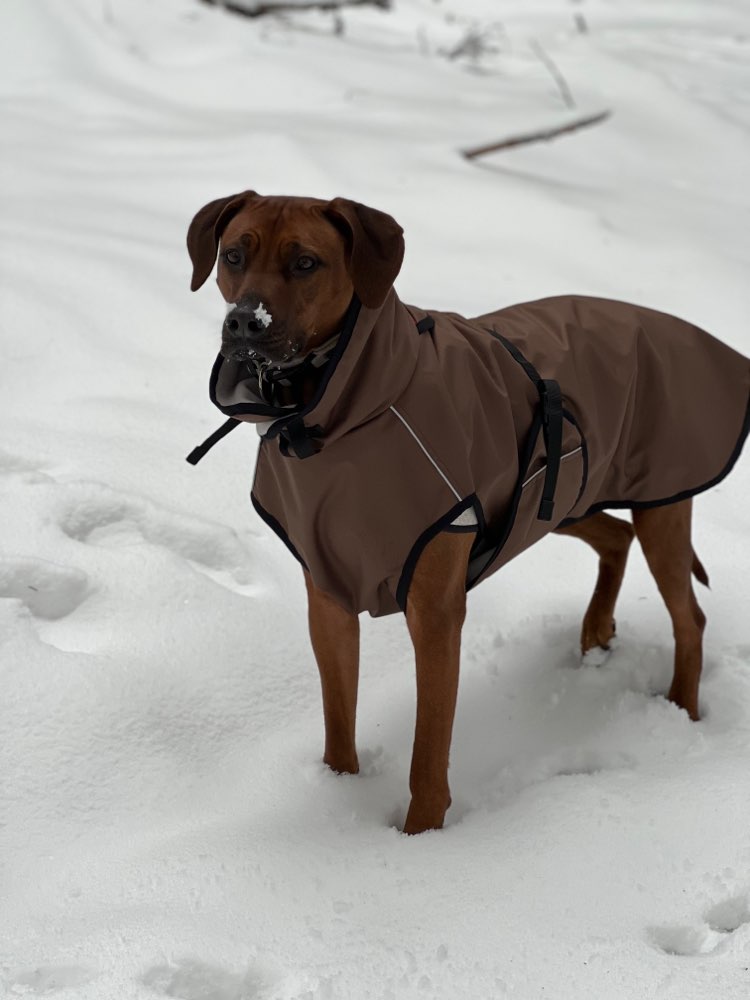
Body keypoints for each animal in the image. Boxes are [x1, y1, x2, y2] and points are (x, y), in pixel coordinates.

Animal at [187, 191, 748, 832]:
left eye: (305, 263)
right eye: (233, 255)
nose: (244, 323)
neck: (338, 414)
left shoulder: (434, 608)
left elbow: (428, 752)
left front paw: (420, 839)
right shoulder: (328, 593)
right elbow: (338, 718)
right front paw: (339, 799)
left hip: (657, 496)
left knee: (688, 615)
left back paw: (681, 713)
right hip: (562, 491)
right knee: (615, 537)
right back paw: (596, 632)